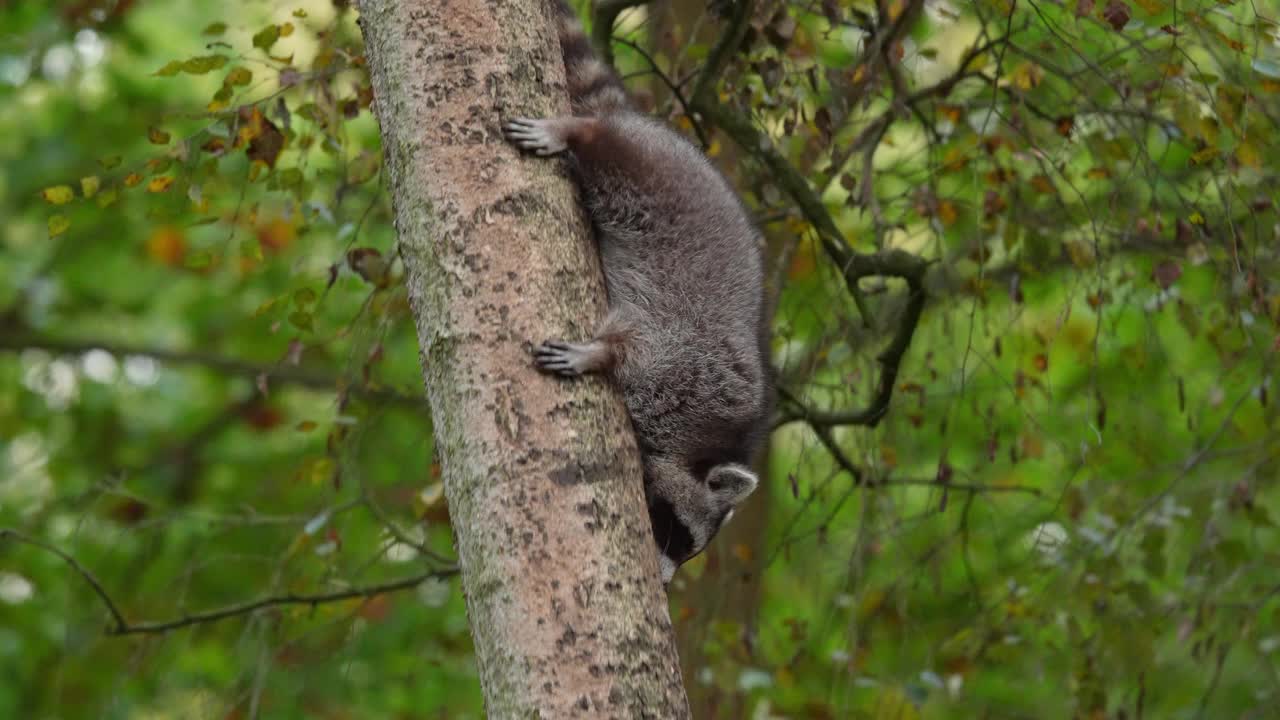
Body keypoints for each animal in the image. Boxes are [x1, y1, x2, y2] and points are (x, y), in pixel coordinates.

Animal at [504, 0, 768, 579]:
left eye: (689, 549)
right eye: (677, 532)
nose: (666, 582)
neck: (697, 444)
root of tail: (649, 126)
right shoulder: (690, 366)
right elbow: (642, 351)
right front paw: (602, 354)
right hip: (650, 180)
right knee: (610, 154)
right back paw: (579, 131)